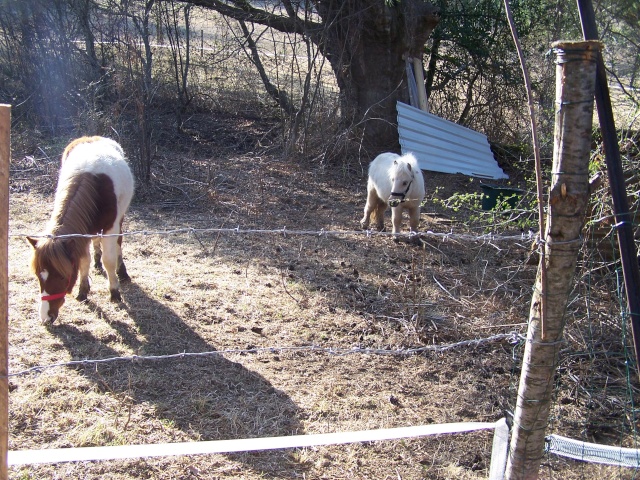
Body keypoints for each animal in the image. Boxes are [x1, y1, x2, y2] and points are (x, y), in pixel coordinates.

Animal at [27, 136, 135, 322]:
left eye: (62, 276)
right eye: (38, 275)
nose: (46, 316)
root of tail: (94, 137)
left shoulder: (110, 227)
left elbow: (109, 260)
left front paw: (114, 291)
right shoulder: (80, 233)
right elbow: (84, 260)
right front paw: (83, 291)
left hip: (120, 218)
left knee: (118, 243)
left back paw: (122, 272)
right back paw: (97, 262)